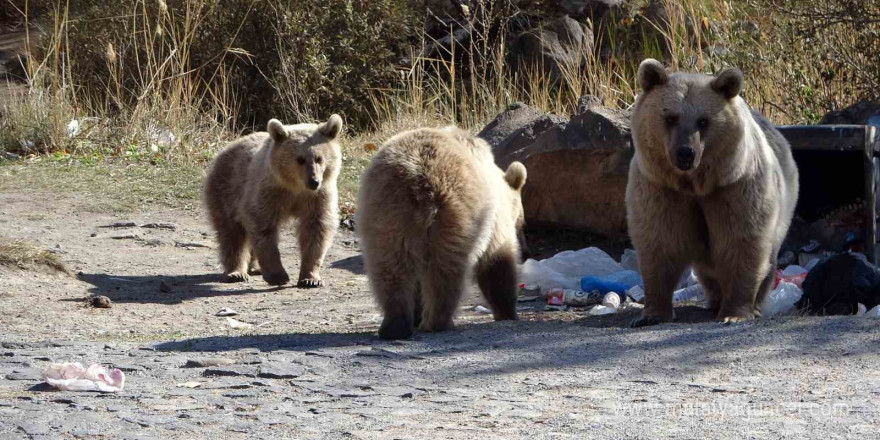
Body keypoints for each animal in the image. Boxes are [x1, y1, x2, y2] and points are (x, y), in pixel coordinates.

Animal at [204, 115, 344, 288]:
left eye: (319, 158)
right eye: (300, 159)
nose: (314, 181)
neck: (295, 187)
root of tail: (227, 147)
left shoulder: (318, 197)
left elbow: (316, 229)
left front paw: (310, 278)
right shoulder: (269, 193)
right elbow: (263, 227)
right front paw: (278, 275)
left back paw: (254, 267)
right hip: (226, 190)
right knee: (231, 233)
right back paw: (236, 272)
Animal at [360, 127, 528, 340]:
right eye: (522, 221)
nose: (527, 250)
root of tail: (418, 178)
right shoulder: (494, 219)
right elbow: (497, 260)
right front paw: (507, 312)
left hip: (385, 213)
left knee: (390, 266)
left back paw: (395, 325)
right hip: (455, 212)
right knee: (445, 270)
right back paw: (439, 322)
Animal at [624, 60, 796, 324]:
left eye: (703, 121)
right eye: (670, 117)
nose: (685, 152)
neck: (695, 184)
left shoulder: (734, 188)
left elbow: (741, 242)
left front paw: (734, 313)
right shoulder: (660, 189)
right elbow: (659, 241)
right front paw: (651, 314)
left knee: (767, 257)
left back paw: (753, 305)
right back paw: (714, 299)